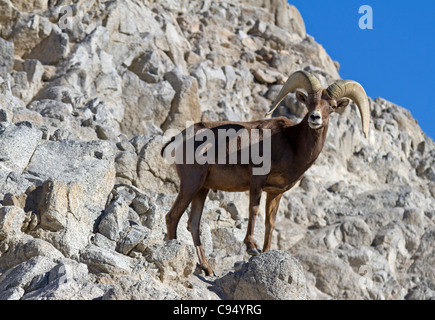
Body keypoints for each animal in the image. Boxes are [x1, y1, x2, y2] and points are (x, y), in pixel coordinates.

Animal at [162, 71, 370, 276]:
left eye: (332, 106)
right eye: (309, 102)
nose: (315, 117)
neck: (292, 144)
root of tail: (179, 138)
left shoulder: (276, 192)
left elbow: (270, 222)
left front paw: (266, 252)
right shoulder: (257, 181)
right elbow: (253, 210)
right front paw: (252, 247)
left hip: (202, 189)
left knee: (193, 223)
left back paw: (207, 269)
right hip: (191, 183)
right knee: (172, 217)